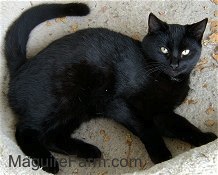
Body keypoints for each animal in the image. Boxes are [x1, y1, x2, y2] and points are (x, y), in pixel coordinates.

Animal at [4, 2, 217, 174]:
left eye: (186, 52)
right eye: (163, 49)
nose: (174, 64)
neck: (164, 79)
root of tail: (22, 66)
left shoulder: (161, 112)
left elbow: (182, 125)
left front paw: (205, 140)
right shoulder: (115, 103)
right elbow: (147, 127)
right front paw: (162, 155)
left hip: (77, 110)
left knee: (51, 137)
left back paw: (88, 151)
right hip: (58, 103)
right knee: (25, 131)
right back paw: (49, 163)